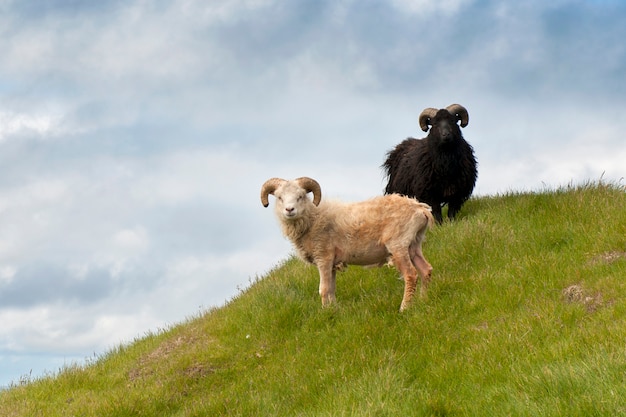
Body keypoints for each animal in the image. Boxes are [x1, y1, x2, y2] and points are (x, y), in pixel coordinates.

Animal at [260, 176, 432, 312]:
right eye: (280, 197)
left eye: (301, 196)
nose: (289, 210)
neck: (312, 219)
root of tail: (420, 208)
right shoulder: (332, 263)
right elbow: (331, 289)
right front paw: (334, 311)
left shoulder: (323, 257)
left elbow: (323, 289)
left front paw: (325, 314)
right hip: (413, 244)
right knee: (426, 270)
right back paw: (423, 299)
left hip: (398, 245)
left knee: (411, 274)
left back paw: (405, 308)